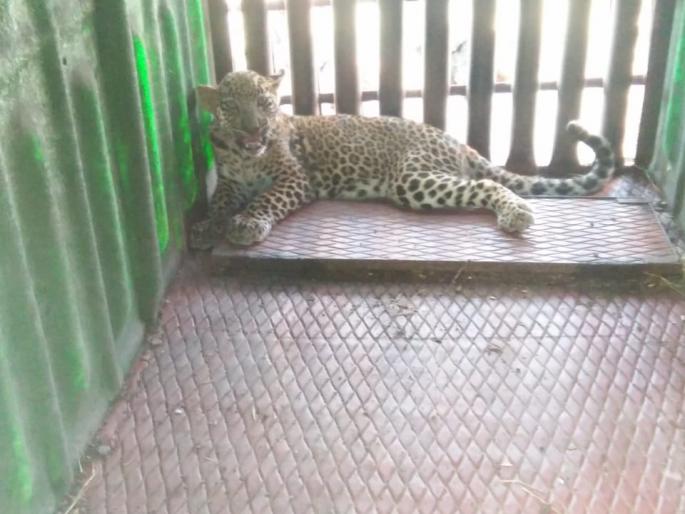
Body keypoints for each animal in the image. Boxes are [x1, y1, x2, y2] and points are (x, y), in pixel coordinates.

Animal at [190, 70, 614, 249]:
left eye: (265, 103)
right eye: (232, 106)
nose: (255, 129)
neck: (245, 156)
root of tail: (456, 141)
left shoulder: (295, 179)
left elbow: (266, 198)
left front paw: (246, 223)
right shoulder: (230, 181)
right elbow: (220, 200)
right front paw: (209, 225)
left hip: (412, 179)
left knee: (485, 183)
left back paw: (517, 213)